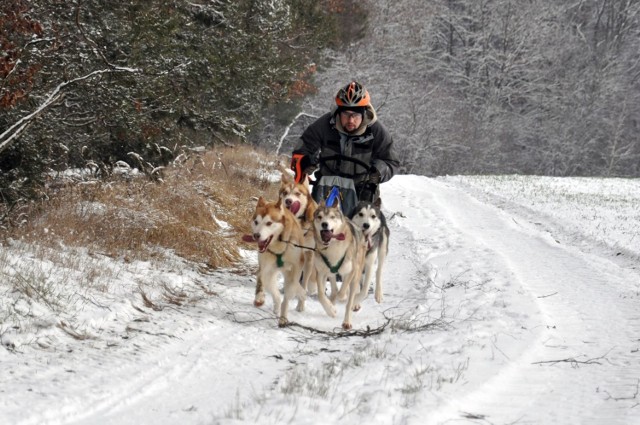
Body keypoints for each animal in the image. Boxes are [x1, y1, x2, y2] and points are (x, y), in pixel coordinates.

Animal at [244, 197, 306, 326]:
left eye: (269, 223)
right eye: (256, 222)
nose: (256, 235)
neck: (279, 247)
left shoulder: (297, 266)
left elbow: (291, 288)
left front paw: (283, 316)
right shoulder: (267, 268)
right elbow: (269, 285)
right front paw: (271, 302)